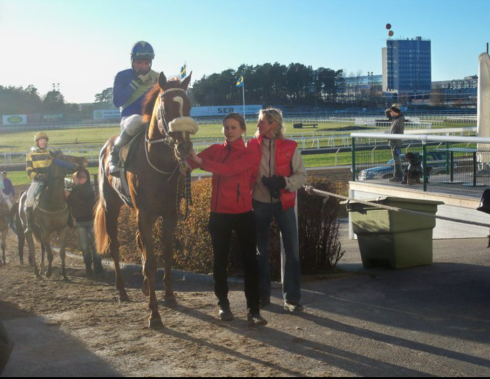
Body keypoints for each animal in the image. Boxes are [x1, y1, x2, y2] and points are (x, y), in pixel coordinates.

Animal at [94, 72, 196, 330]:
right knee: (115, 246)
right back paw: (122, 291)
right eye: (166, 108)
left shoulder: (169, 214)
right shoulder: (146, 215)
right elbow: (151, 261)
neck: (158, 164)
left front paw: (169, 296)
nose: (184, 147)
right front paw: (154, 314)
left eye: (189, 106)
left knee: (139, 242)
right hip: (111, 207)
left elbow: (166, 255)